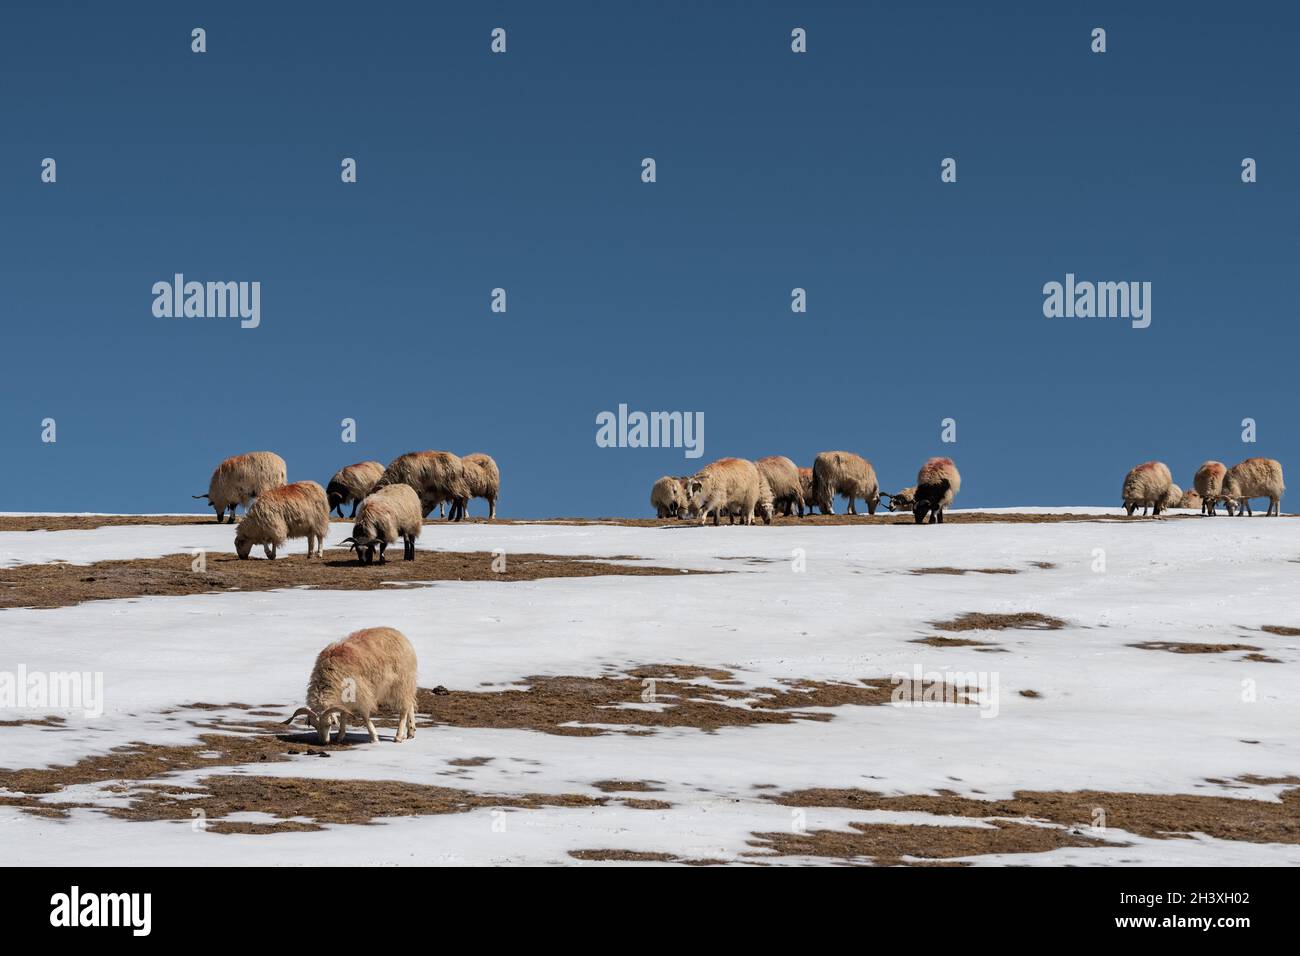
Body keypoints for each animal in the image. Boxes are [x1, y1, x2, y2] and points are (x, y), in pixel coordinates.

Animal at [283, 629, 416, 749]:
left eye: (329, 724)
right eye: (314, 725)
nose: (323, 742)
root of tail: (400, 635)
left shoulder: (360, 693)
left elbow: (364, 716)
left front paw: (374, 737)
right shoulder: (344, 696)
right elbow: (343, 713)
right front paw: (340, 736)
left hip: (400, 683)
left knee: (404, 709)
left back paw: (398, 736)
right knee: (410, 704)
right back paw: (410, 732)